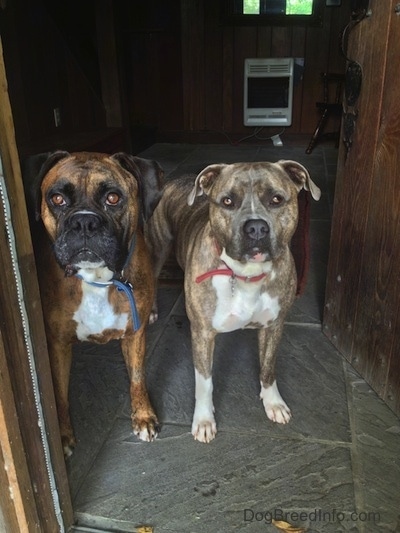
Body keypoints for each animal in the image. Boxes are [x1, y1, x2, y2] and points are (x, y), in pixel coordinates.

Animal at [29, 152, 164, 456]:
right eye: (57, 199)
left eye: (113, 198)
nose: (84, 223)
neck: (96, 278)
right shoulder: (57, 344)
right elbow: (59, 393)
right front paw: (63, 436)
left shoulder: (134, 334)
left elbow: (137, 378)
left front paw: (143, 417)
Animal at [145, 160, 320, 442]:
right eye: (227, 201)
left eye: (276, 199)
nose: (256, 227)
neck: (245, 275)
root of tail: (175, 179)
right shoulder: (203, 334)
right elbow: (204, 382)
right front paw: (204, 420)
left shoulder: (274, 326)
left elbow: (268, 368)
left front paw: (273, 402)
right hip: (157, 251)